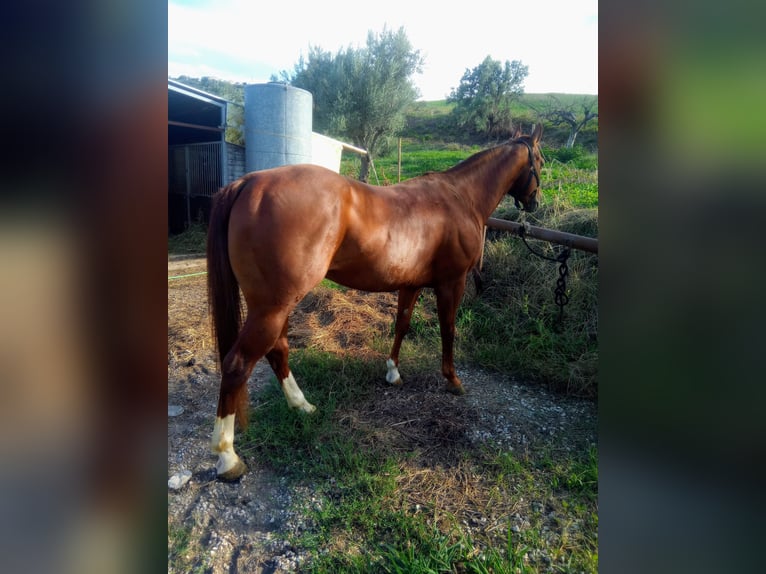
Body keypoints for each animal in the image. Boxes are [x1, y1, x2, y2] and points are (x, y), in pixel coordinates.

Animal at [206, 124, 544, 480]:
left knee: (277, 350)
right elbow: (448, 329)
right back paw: (227, 456)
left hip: (276, 306)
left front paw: (393, 372)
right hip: (271, 308)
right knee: (238, 364)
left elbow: (402, 325)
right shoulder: (452, 284)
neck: (459, 196)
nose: (535, 202)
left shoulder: (411, 284)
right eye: (540, 160)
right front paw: (452, 380)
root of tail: (249, 183)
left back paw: (302, 406)